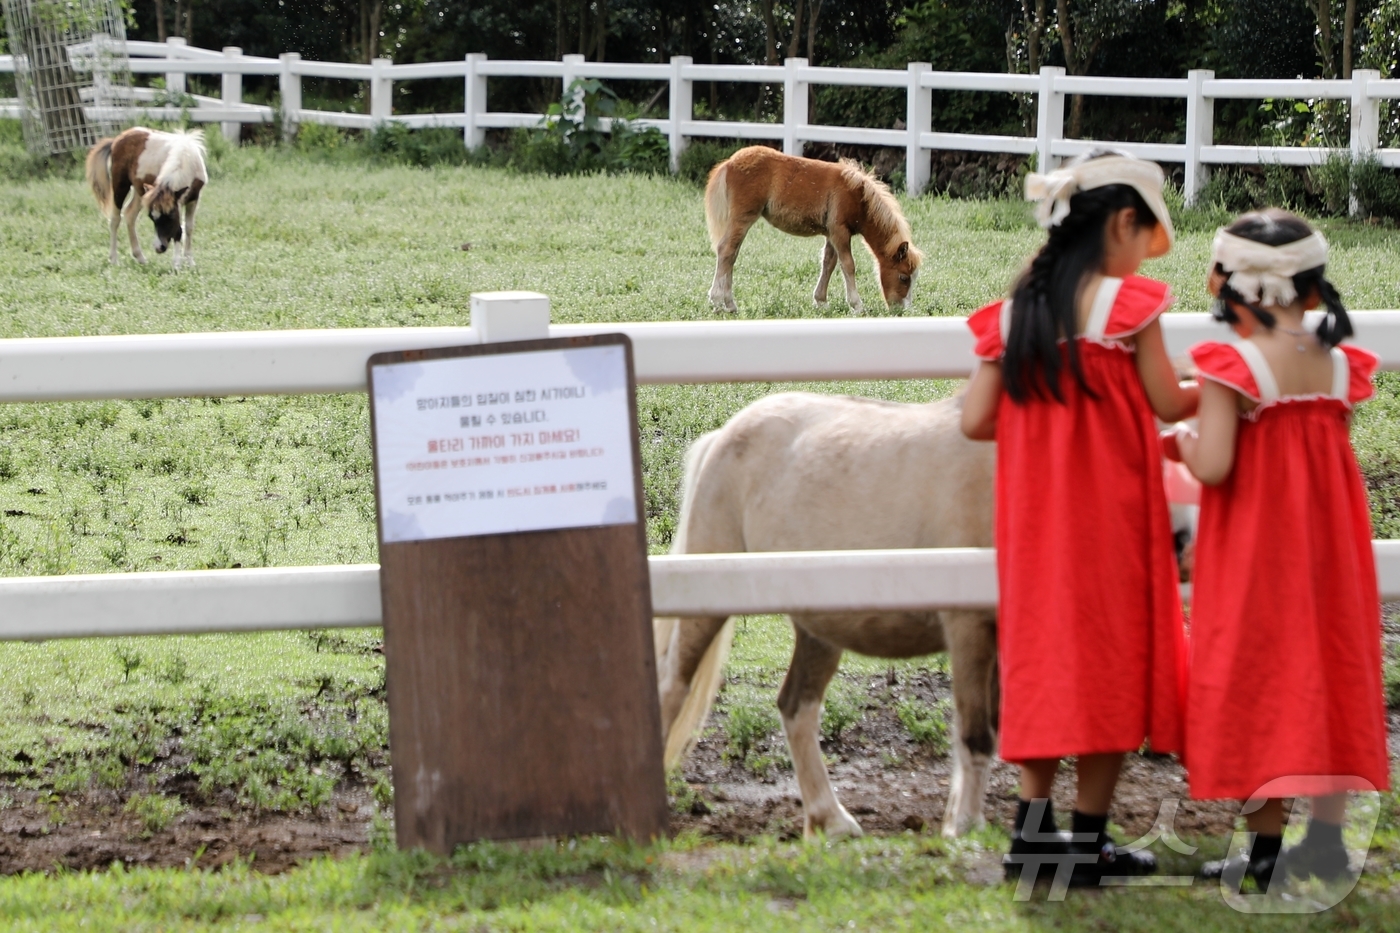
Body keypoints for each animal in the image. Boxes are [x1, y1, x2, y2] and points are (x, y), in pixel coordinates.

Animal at [86, 125, 207, 268]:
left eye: (170, 216)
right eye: (151, 217)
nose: (159, 248)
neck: (185, 157)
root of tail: (116, 140)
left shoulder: (193, 199)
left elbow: (188, 228)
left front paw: (189, 261)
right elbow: (179, 230)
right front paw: (177, 264)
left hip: (140, 192)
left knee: (129, 214)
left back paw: (140, 258)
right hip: (120, 185)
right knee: (115, 219)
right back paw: (114, 259)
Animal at [655, 389, 996, 840]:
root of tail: (723, 435)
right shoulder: (969, 623)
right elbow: (976, 734)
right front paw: (965, 828)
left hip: (819, 627)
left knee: (796, 706)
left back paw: (830, 820)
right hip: (709, 598)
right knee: (673, 687)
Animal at [705, 145, 924, 312]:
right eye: (903, 277)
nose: (902, 310)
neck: (858, 197)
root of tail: (729, 162)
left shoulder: (831, 234)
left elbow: (829, 263)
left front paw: (821, 301)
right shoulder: (840, 231)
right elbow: (848, 265)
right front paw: (857, 305)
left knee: (731, 254)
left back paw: (728, 303)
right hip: (743, 218)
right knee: (726, 250)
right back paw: (719, 301)